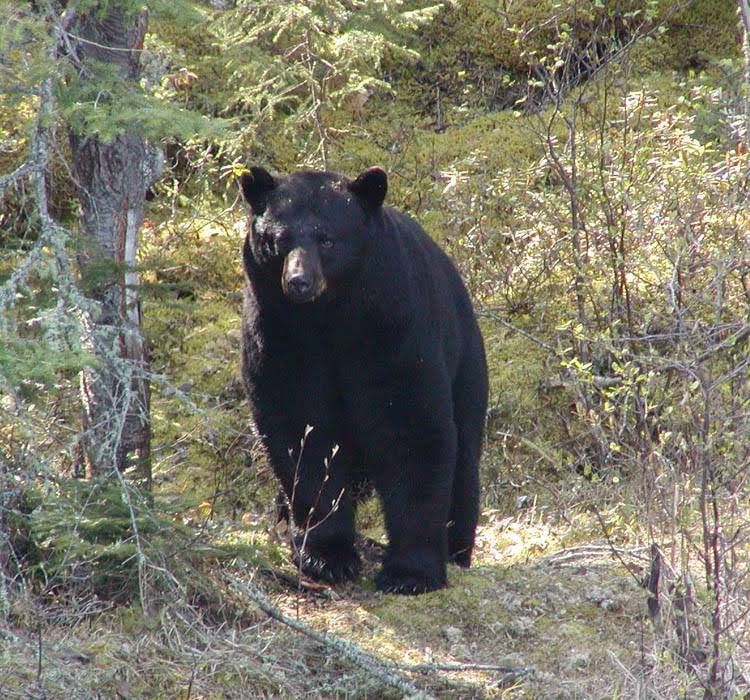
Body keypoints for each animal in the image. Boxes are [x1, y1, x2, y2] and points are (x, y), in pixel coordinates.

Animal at [239, 165, 488, 594]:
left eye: (326, 237)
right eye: (278, 239)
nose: (298, 282)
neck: (328, 317)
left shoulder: (392, 328)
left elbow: (411, 428)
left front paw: (411, 572)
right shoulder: (278, 336)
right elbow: (303, 433)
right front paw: (326, 556)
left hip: (467, 364)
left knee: (465, 459)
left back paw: (457, 549)